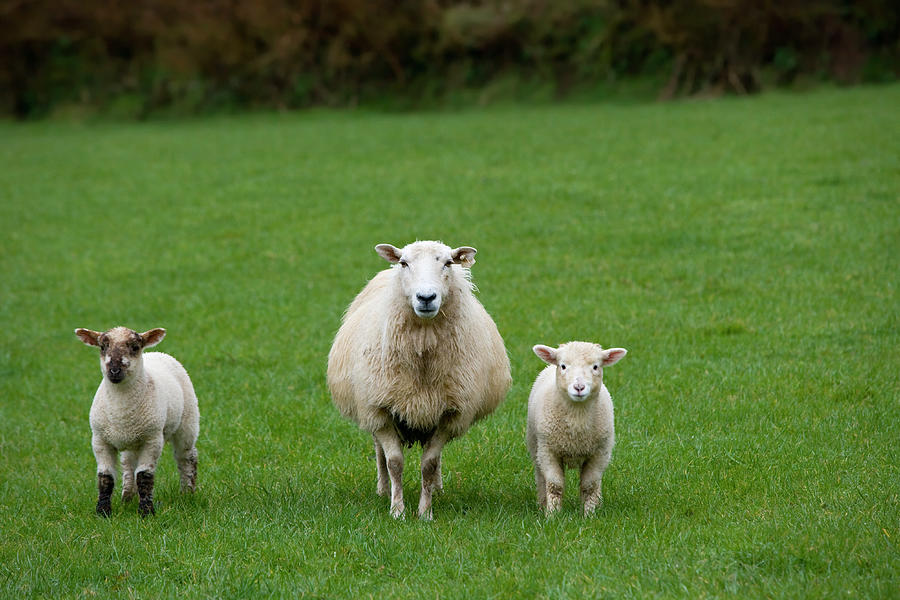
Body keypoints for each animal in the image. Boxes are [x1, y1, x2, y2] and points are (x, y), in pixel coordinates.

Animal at [75, 326, 199, 517]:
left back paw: (187, 492)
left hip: (188, 421)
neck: (121, 409)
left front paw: (146, 512)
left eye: (134, 347)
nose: (114, 370)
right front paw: (103, 512)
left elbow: (144, 476)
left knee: (186, 457)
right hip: (132, 440)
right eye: (103, 347)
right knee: (128, 465)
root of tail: (157, 352)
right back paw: (127, 497)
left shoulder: (152, 439)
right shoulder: (100, 440)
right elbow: (105, 477)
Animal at [327, 240, 511, 519]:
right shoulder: (380, 409)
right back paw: (382, 489)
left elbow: (430, 464)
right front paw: (397, 510)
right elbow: (394, 462)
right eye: (404, 263)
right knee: (379, 452)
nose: (426, 298)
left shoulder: (449, 414)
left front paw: (425, 512)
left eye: (448, 263)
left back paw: (437, 488)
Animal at [527, 341, 627, 515]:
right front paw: (552, 515)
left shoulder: (599, 453)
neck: (577, 419)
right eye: (563, 366)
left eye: (595, 366)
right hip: (535, 447)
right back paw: (542, 504)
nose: (579, 387)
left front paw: (589, 514)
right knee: (540, 477)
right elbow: (554, 485)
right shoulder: (548, 451)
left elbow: (590, 485)